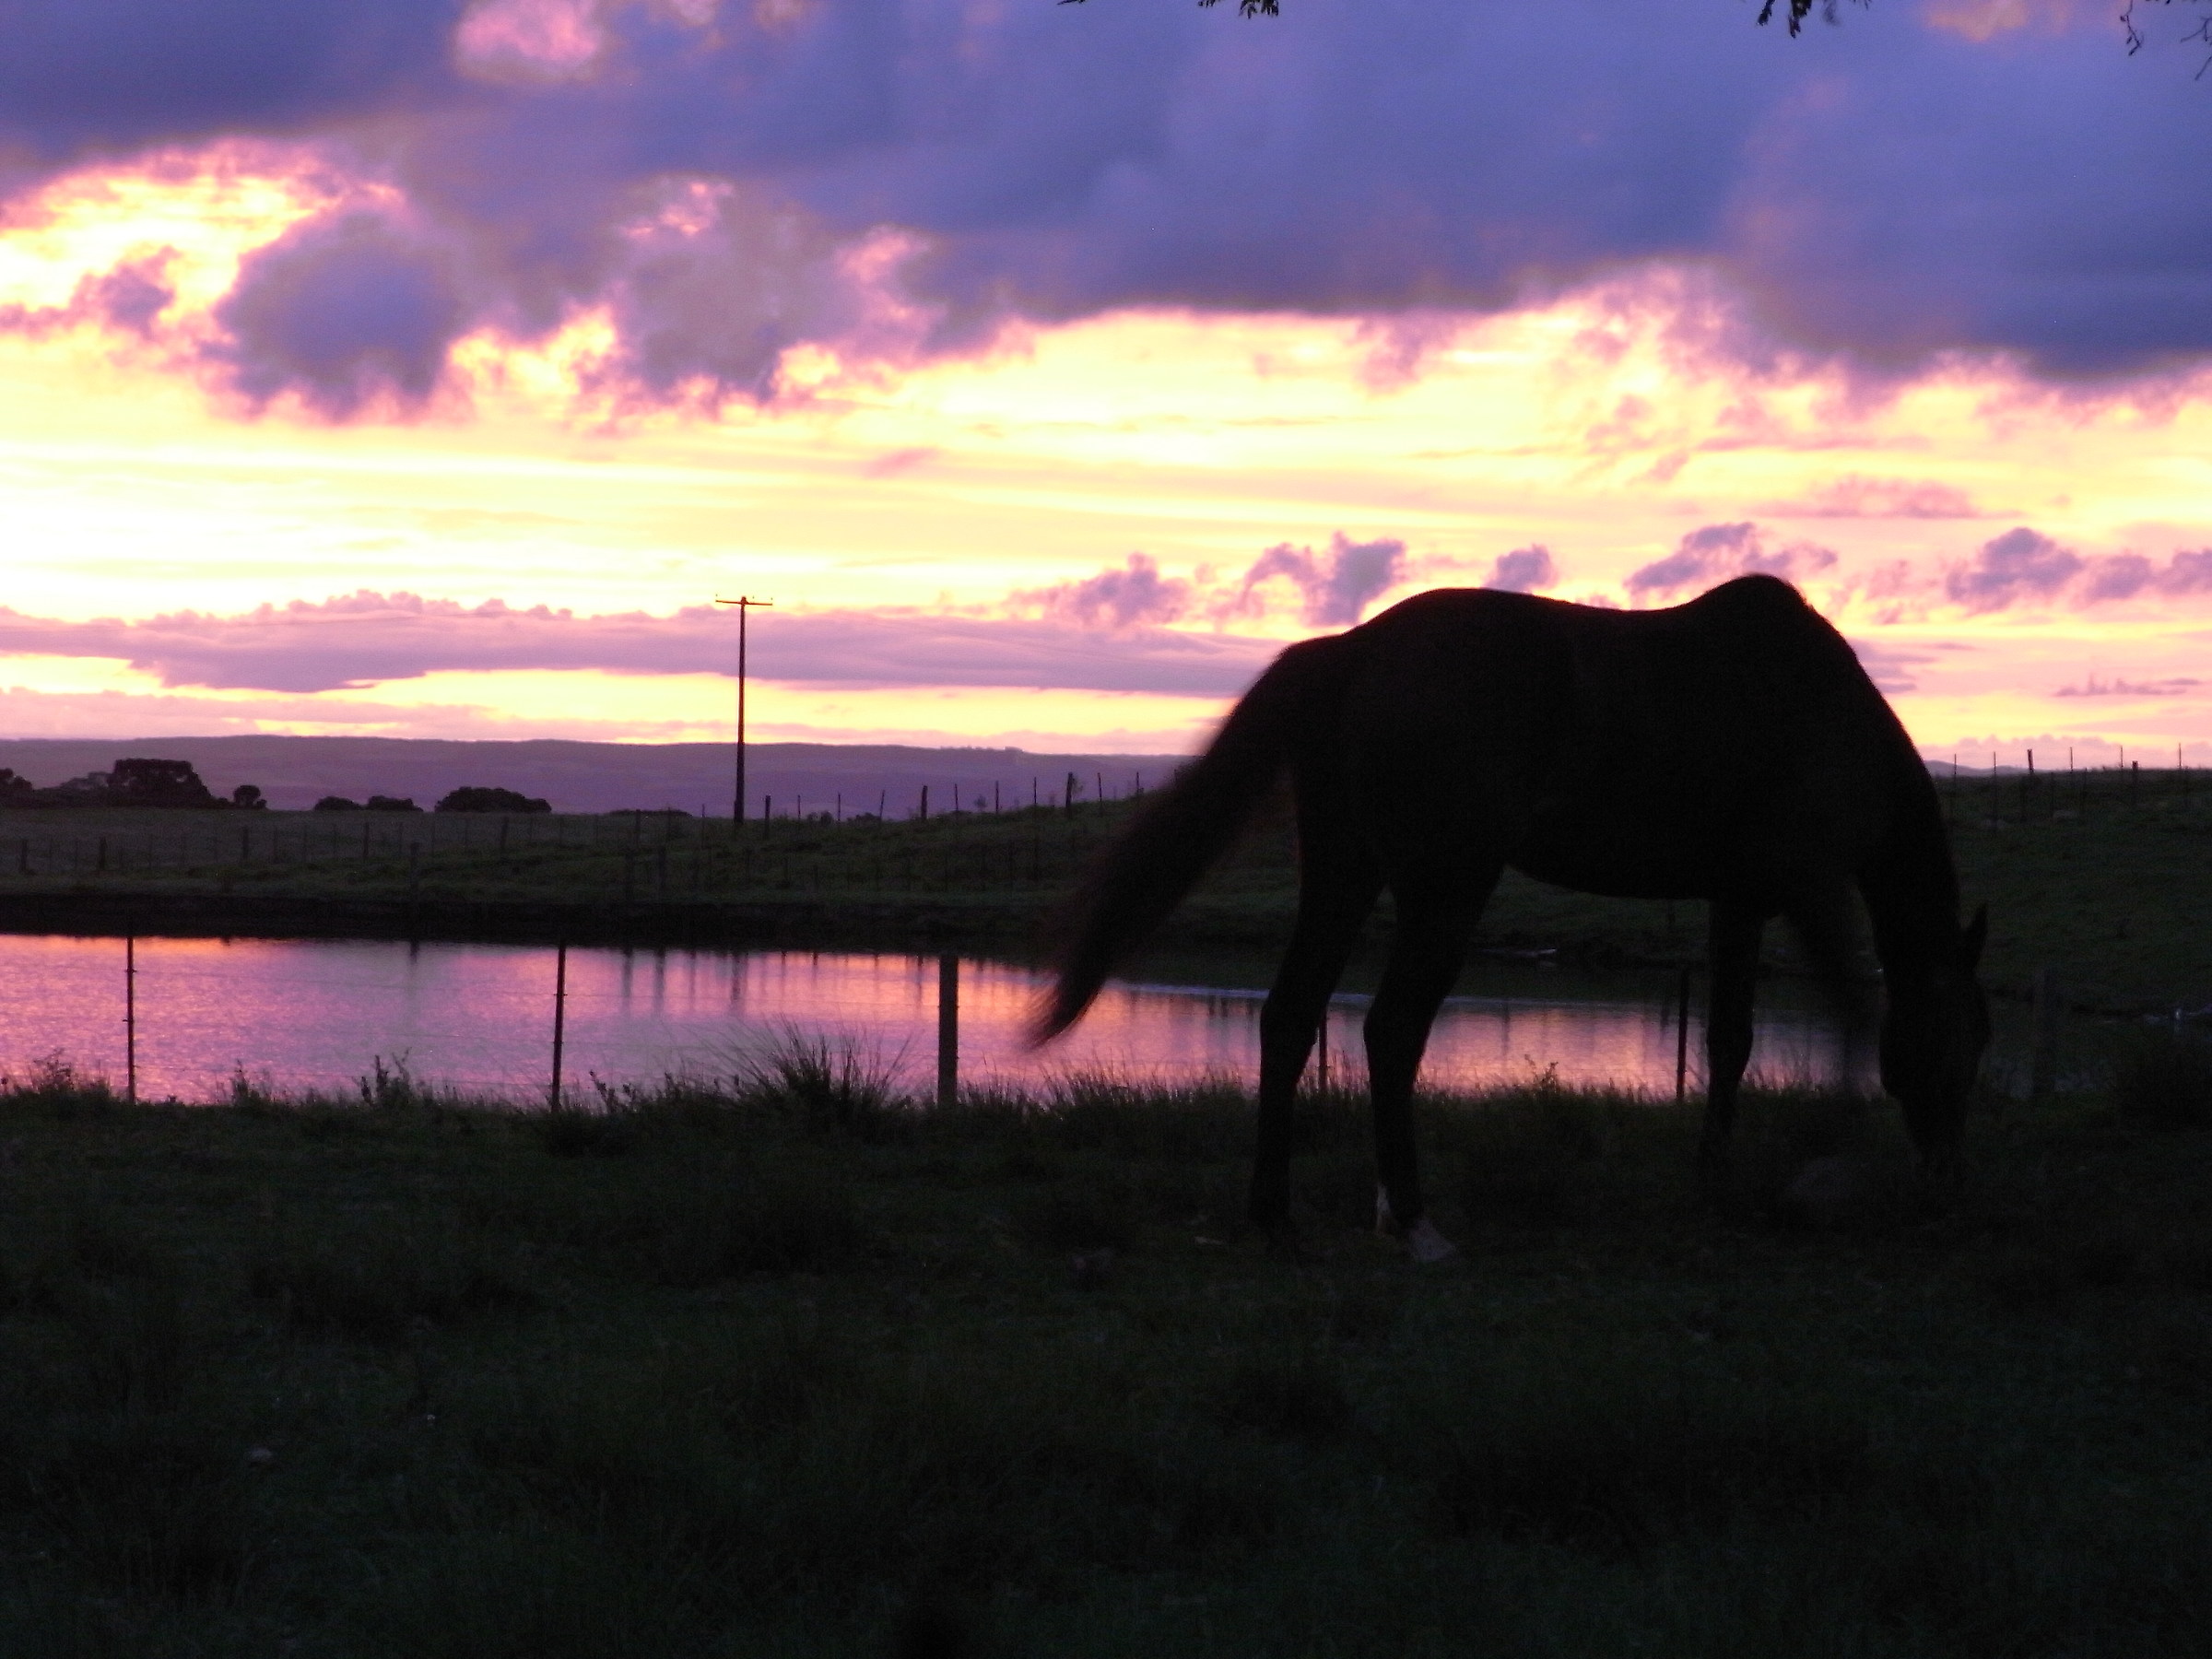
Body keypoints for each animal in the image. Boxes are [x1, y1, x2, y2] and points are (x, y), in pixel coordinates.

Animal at [1034, 575, 1990, 1262]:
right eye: (1965, 1044)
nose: (1950, 1175)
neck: (1822, 712)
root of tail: (1354, 652)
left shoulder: (1741, 899)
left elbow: (1730, 1041)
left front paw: (1713, 1180)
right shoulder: (1807, 888)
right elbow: (1852, 1014)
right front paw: (1829, 1150)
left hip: (1345, 877)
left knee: (1293, 1015)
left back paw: (1276, 1217)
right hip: (1446, 889)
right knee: (1390, 1032)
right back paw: (1415, 1223)